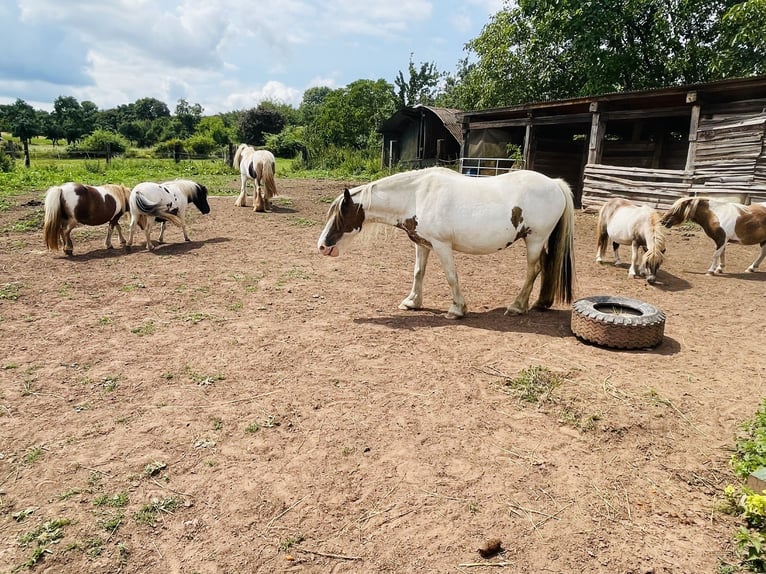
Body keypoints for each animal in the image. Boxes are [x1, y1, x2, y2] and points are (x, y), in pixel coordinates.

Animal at [316, 168, 576, 320]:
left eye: (340, 215)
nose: (322, 246)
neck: (417, 195)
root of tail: (555, 183)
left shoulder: (442, 246)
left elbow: (451, 276)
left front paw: (457, 309)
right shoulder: (422, 244)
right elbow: (418, 272)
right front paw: (412, 302)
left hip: (535, 240)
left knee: (533, 270)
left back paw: (517, 306)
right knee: (546, 267)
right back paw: (540, 303)